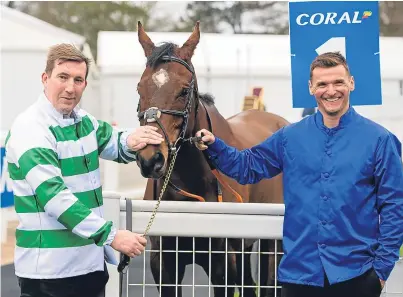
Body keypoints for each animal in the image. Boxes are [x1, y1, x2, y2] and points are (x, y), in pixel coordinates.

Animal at [136, 21, 290, 296]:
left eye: (184, 90)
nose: (150, 159)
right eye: (139, 88)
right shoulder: (163, 263)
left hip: (272, 246)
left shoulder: (223, 264)